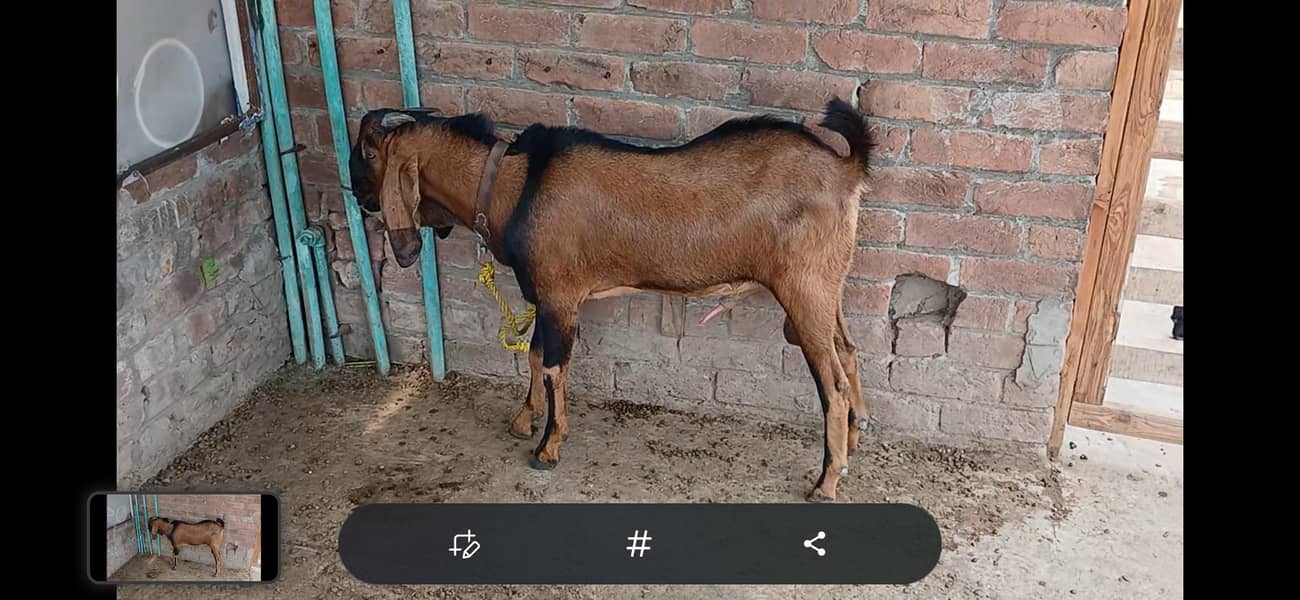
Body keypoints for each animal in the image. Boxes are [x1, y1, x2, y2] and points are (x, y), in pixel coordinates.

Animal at [350, 98, 874, 502]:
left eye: (369, 152)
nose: (356, 196)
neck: (512, 185)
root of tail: (846, 168)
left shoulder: (560, 294)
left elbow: (553, 367)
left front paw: (547, 449)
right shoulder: (545, 295)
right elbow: (533, 355)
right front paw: (524, 419)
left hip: (803, 289)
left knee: (832, 386)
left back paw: (827, 481)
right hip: (828, 287)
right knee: (849, 352)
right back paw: (854, 440)